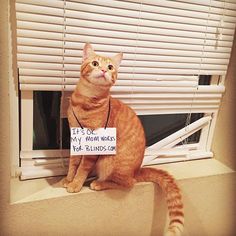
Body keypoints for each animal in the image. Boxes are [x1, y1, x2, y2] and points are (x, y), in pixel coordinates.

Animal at [62, 42, 184, 236]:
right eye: (95, 63)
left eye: (111, 67)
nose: (104, 70)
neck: (85, 101)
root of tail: (137, 170)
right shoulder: (76, 139)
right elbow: (74, 163)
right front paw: (69, 179)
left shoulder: (92, 147)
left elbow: (82, 168)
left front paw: (76, 183)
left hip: (110, 163)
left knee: (128, 183)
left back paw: (99, 183)